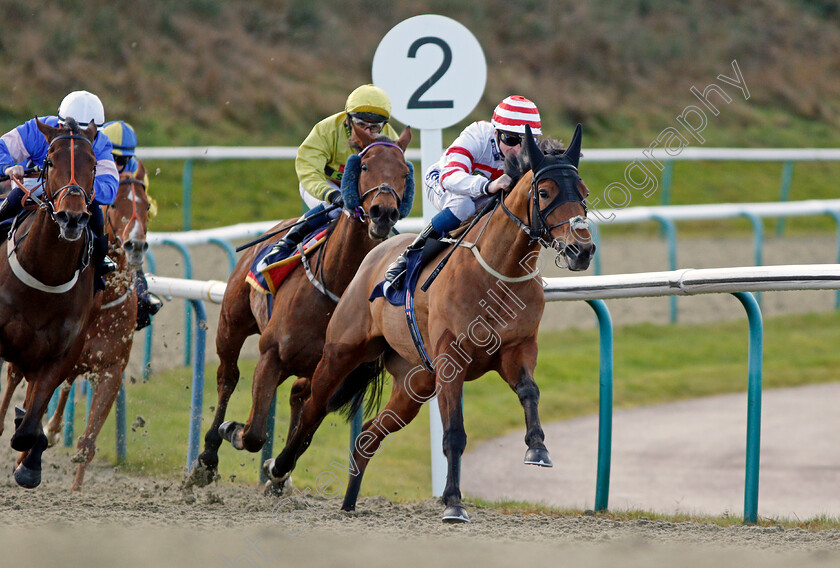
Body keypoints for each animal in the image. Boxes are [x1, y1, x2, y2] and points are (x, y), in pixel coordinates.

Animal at [0, 116, 98, 488]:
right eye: (51, 161)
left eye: (94, 164)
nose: (72, 217)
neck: (44, 275)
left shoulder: (61, 354)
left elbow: (29, 428)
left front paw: (30, 462)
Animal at [0, 175, 154, 490]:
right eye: (114, 204)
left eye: (146, 206)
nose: (135, 245)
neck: (102, 300)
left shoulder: (110, 370)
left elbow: (86, 443)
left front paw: (75, 491)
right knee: (14, 382)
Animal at [189, 124, 414, 488]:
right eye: (365, 166)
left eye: (405, 173)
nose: (384, 212)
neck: (336, 287)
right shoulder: (272, 353)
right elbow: (254, 433)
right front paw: (232, 431)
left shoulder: (334, 369)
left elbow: (304, 424)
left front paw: (277, 469)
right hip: (232, 322)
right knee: (228, 376)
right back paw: (207, 457)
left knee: (297, 394)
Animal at [266, 125, 592, 524]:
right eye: (544, 192)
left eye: (583, 193)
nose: (582, 250)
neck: (499, 273)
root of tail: (372, 256)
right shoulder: (451, 361)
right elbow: (453, 433)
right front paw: (453, 502)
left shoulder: (518, 348)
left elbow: (530, 391)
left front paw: (538, 448)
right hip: (341, 351)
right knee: (313, 405)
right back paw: (278, 469)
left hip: (414, 383)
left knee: (369, 435)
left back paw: (349, 502)